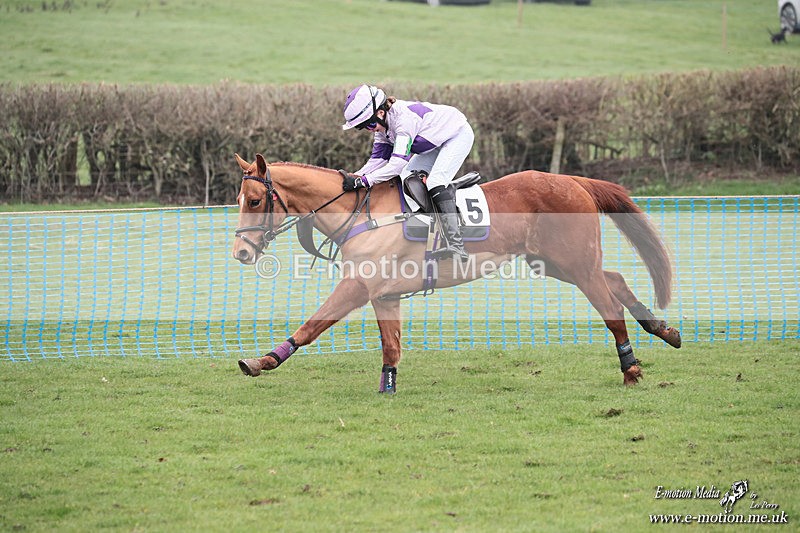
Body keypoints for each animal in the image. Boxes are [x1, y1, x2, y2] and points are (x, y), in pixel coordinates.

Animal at [232, 153, 681, 392]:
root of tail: (572, 180)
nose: (240, 252)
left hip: (574, 263)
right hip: (557, 263)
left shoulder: (359, 285)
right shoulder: (384, 293)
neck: (362, 215)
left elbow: (312, 325)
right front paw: (388, 386)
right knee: (616, 280)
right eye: (239, 199)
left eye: (254, 201)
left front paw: (263, 360)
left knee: (610, 309)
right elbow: (390, 346)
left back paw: (631, 367)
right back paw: (663, 329)